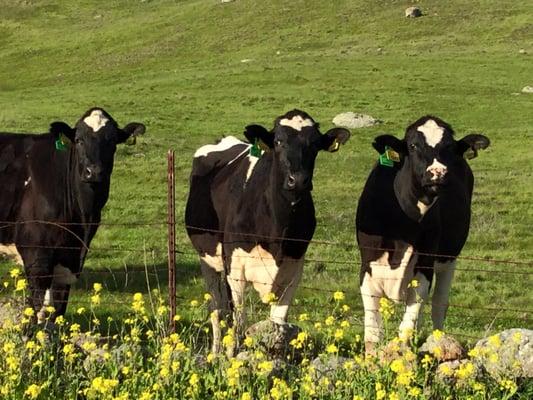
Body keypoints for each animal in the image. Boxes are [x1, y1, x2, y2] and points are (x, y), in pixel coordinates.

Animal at [0, 108, 145, 322]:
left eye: (111, 140)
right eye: (78, 140)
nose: (94, 172)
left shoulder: (69, 260)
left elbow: (57, 310)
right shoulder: (36, 254)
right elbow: (36, 308)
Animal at [185, 109, 352, 354]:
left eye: (314, 144)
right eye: (279, 141)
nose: (298, 180)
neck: (277, 234)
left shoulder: (294, 268)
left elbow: (278, 325)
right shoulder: (235, 267)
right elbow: (237, 322)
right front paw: (230, 358)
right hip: (208, 258)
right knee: (217, 309)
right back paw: (214, 353)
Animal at [356, 115, 488, 350]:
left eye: (450, 147)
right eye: (413, 145)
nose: (438, 173)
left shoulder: (425, 265)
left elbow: (406, 328)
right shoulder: (367, 265)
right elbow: (372, 333)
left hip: (448, 259)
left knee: (439, 303)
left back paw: (440, 341)